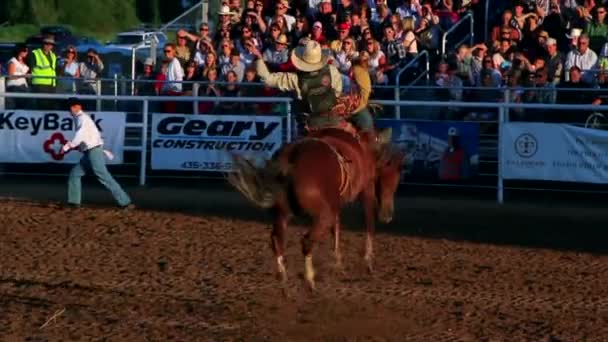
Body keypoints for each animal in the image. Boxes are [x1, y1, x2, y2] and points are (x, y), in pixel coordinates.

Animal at [226, 127, 402, 290]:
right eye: (393, 173)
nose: (388, 215)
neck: (367, 148)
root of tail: (290, 158)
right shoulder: (366, 189)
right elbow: (368, 223)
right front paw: (368, 261)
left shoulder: (336, 202)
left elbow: (337, 228)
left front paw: (338, 262)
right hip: (324, 214)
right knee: (307, 240)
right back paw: (309, 280)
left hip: (283, 212)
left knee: (277, 239)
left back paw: (283, 278)